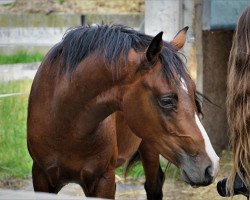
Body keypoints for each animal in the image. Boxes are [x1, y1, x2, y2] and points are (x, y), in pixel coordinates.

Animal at [26, 24, 220, 198]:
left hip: (150, 146)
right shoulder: (41, 175)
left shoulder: (103, 180)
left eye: (193, 93)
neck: (64, 123)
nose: (211, 167)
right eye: (166, 100)